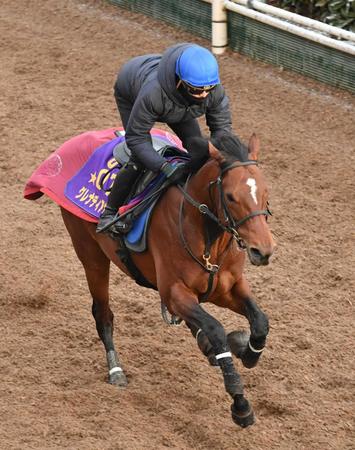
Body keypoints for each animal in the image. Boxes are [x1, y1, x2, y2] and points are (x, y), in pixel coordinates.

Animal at [25, 128, 276, 428]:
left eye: (265, 192)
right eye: (230, 196)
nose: (262, 250)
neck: (208, 237)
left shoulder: (228, 287)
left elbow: (260, 321)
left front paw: (244, 349)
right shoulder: (173, 291)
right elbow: (215, 328)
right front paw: (240, 403)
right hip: (91, 255)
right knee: (103, 314)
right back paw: (116, 369)